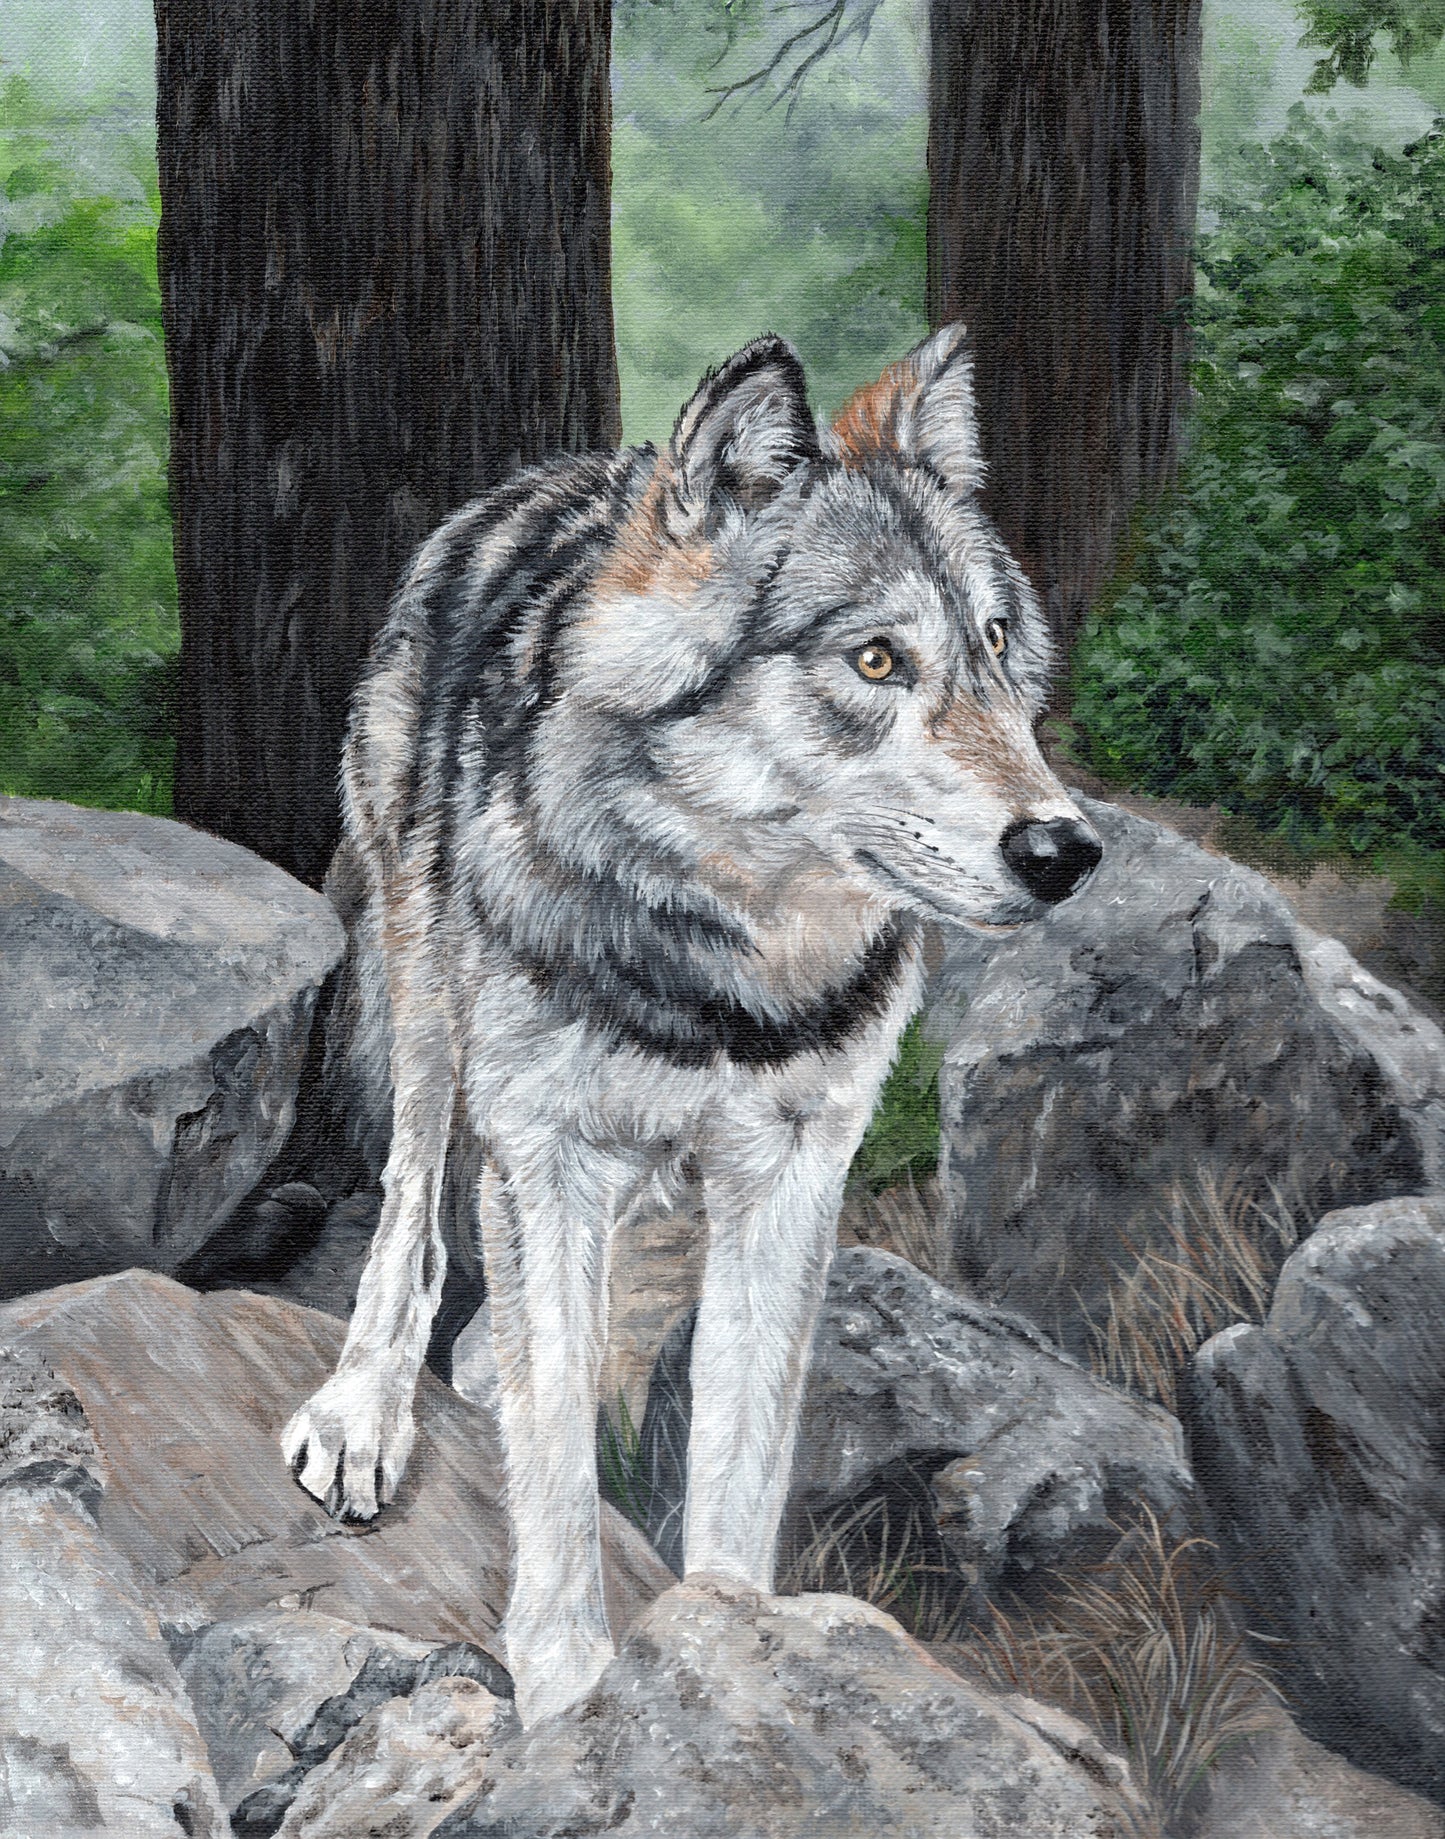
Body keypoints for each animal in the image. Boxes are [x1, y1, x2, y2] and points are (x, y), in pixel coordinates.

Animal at [280, 326, 1102, 1726]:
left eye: (997, 644)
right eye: (874, 661)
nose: (1066, 850)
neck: (726, 976)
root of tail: (558, 475)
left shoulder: (792, 1176)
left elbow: (735, 1456)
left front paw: (734, 1655)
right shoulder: (546, 1154)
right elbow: (557, 1466)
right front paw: (572, 1698)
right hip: (429, 999)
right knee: (411, 1215)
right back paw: (366, 1408)